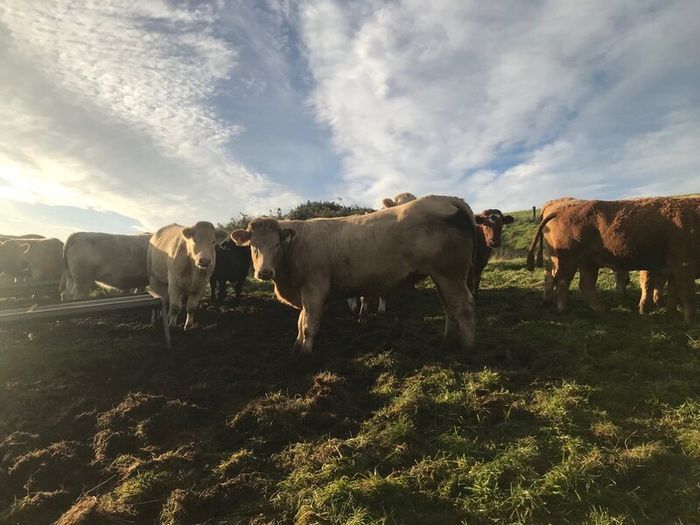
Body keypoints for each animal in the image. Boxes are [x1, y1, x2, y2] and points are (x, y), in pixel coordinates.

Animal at [231, 195, 478, 353]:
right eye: (253, 245)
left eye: (276, 244)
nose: (264, 272)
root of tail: (449, 199)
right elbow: (300, 322)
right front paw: (296, 346)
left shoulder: (314, 289)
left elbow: (308, 323)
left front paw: (305, 353)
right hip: (441, 276)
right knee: (449, 307)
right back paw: (447, 342)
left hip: (451, 273)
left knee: (463, 306)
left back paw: (468, 348)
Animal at [526, 197, 700, 321]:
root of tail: (562, 209)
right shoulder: (683, 266)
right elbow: (687, 294)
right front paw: (690, 321)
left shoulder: (673, 270)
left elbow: (673, 292)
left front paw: (672, 313)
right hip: (567, 261)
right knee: (562, 281)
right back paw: (563, 309)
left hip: (588, 263)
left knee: (584, 284)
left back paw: (601, 311)